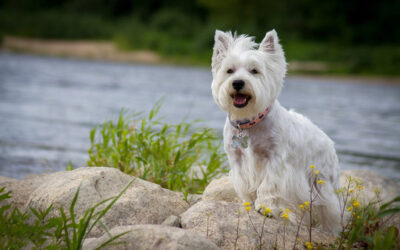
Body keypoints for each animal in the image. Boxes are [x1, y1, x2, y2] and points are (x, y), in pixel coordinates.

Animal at [212, 29, 340, 234]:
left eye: (254, 71)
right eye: (229, 70)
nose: (238, 83)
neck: (249, 123)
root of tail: (329, 141)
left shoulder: (275, 158)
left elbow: (268, 184)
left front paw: (265, 207)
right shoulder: (237, 159)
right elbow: (244, 184)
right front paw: (248, 203)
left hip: (322, 183)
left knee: (330, 210)